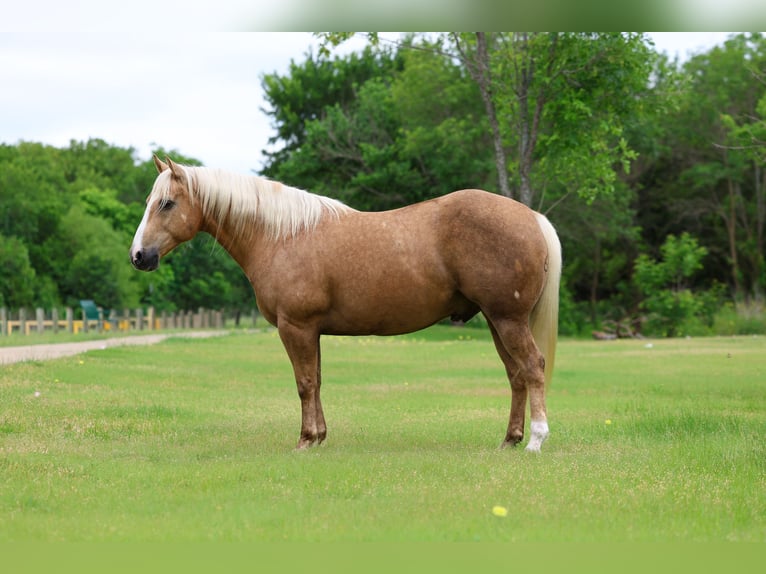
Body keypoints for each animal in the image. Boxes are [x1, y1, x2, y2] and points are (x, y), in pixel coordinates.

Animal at [130, 156, 562, 453]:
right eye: (150, 200)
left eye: (166, 204)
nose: (138, 256)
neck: (282, 236)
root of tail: (532, 217)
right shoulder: (312, 331)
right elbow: (317, 381)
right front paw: (320, 436)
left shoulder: (296, 327)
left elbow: (304, 383)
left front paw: (305, 440)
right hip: (496, 320)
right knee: (516, 375)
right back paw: (509, 440)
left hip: (508, 319)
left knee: (533, 367)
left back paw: (536, 440)